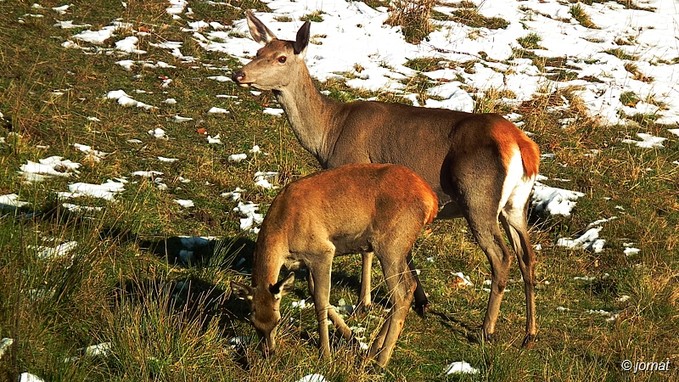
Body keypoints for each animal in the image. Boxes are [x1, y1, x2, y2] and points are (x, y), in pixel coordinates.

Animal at [231, 163, 438, 368]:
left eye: (278, 320)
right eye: (253, 322)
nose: (268, 352)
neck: (283, 231)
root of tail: (431, 201)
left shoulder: (322, 251)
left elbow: (320, 300)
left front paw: (326, 353)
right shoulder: (306, 262)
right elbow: (313, 291)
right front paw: (352, 338)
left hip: (391, 244)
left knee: (401, 294)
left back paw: (381, 360)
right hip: (399, 248)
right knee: (409, 287)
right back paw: (371, 351)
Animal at [234, 11, 540, 346]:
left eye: (281, 57)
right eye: (258, 51)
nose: (239, 74)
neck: (328, 136)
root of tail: (522, 146)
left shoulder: (355, 168)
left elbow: (366, 251)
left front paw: (365, 302)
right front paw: (419, 301)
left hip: (478, 198)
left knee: (501, 257)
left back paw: (486, 330)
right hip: (515, 205)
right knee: (527, 256)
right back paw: (529, 333)